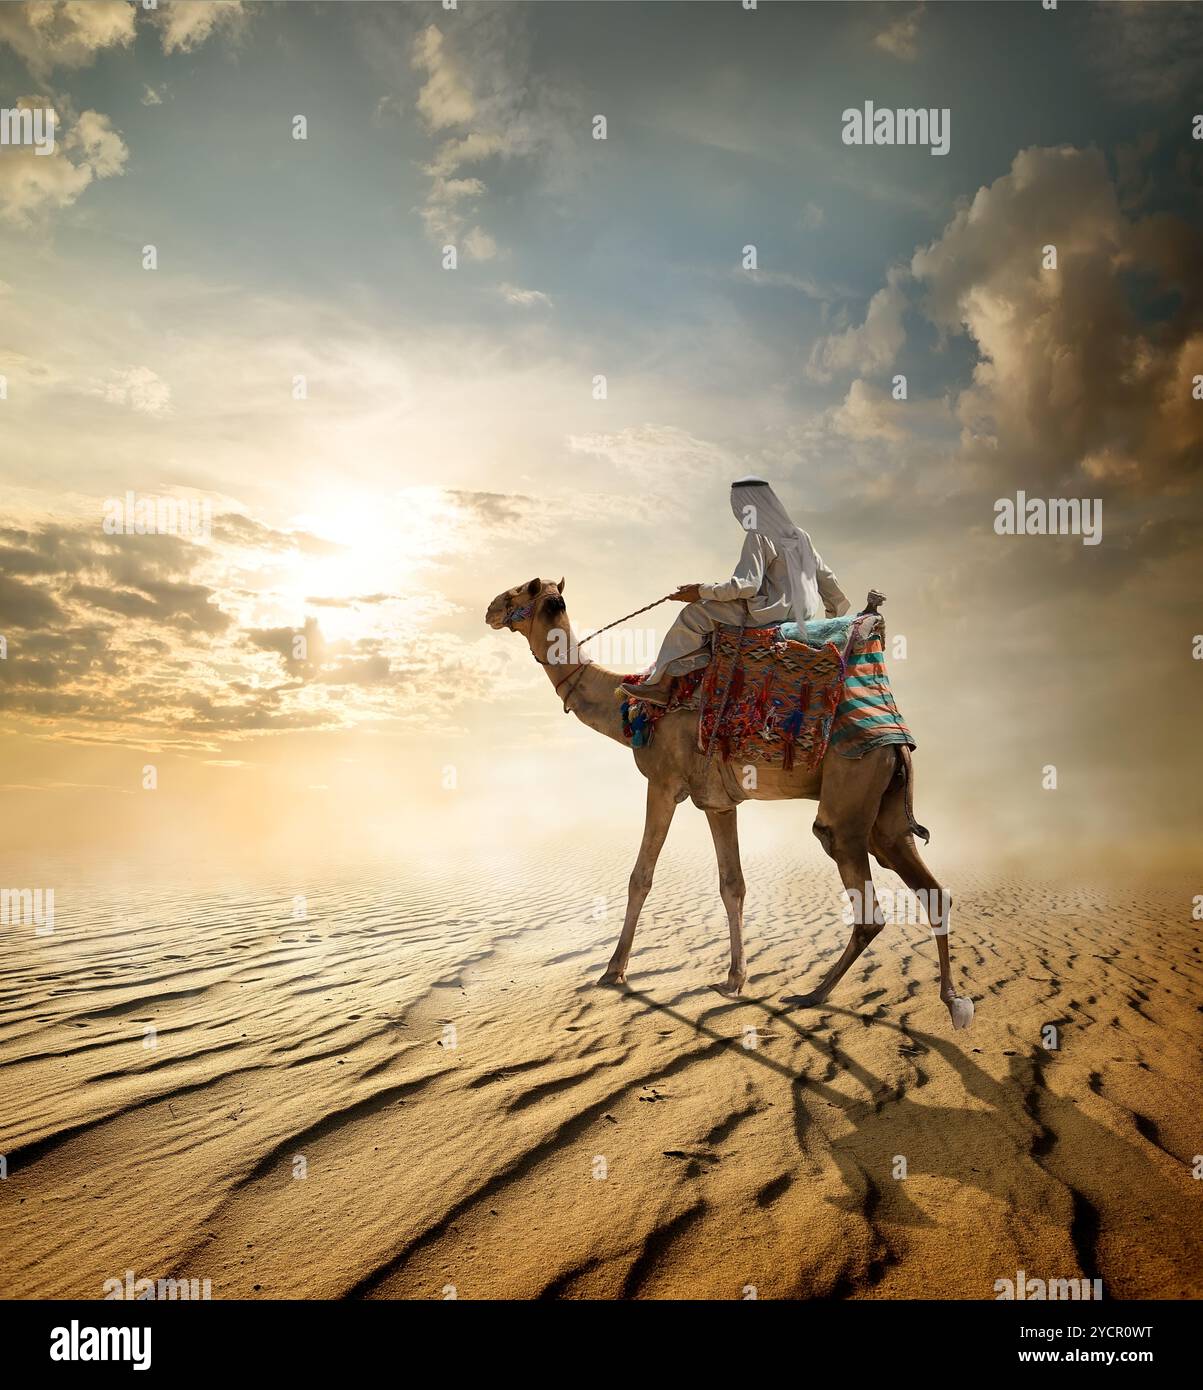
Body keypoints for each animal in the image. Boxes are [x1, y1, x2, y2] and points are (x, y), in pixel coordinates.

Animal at [483, 575, 973, 1034]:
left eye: (519, 591)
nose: (490, 608)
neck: (627, 706)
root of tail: (897, 736)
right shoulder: (718, 802)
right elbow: (732, 884)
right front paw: (734, 980)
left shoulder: (663, 782)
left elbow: (641, 877)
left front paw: (613, 971)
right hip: (885, 809)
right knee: (931, 890)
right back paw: (952, 1001)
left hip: (850, 794)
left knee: (861, 895)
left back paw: (811, 996)